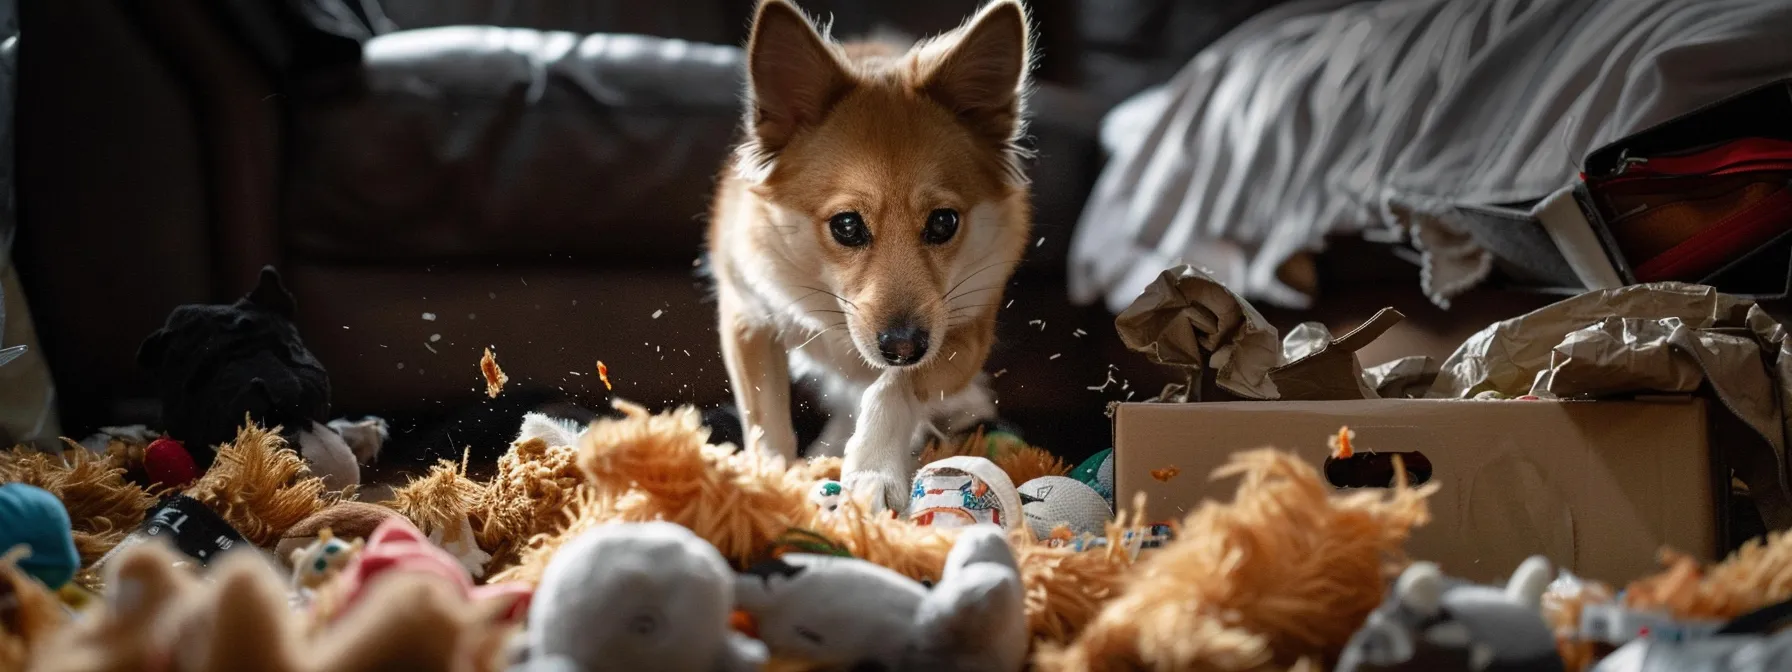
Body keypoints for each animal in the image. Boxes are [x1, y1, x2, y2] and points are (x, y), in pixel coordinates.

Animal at [702, 0, 1032, 508]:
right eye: (847, 225)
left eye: (944, 222)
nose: (902, 346)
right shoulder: (747, 316)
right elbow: (766, 420)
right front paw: (770, 483)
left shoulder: (964, 332)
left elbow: (894, 387)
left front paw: (874, 467)